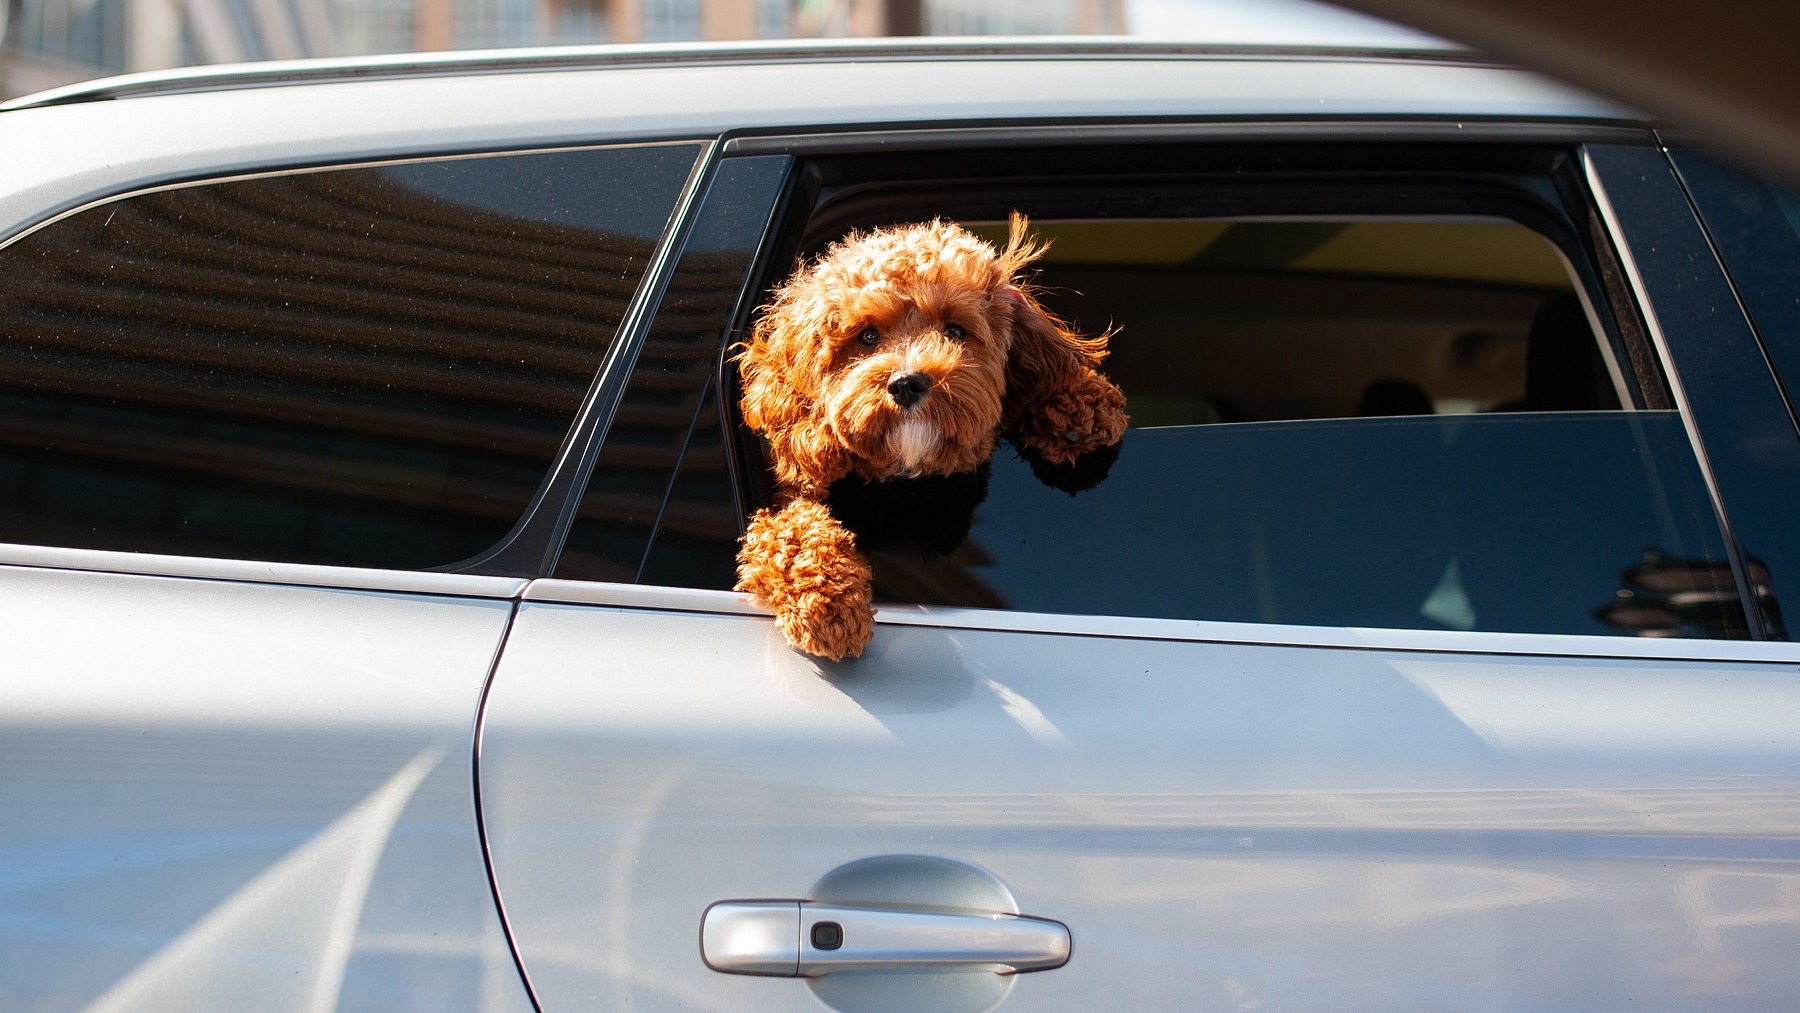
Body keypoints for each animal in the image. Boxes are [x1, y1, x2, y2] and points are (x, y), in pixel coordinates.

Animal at [730, 212, 1123, 665]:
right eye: (867, 336)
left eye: (955, 330)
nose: (906, 383)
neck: (908, 474)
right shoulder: (787, 500)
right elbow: (789, 532)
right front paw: (829, 605)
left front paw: (1081, 402)